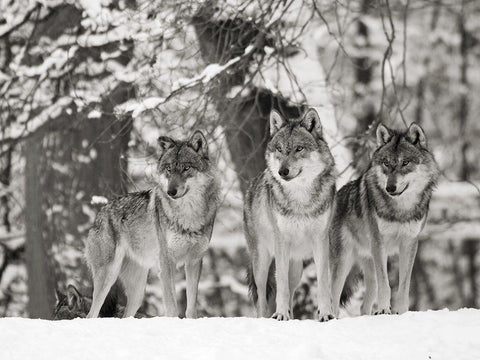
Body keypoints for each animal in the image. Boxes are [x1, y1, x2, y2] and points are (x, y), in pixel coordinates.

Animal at [86, 129, 219, 318]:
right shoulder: (167, 262)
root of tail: (100, 213)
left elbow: (191, 307)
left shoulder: (194, 261)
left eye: (186, 168)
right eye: (169, 169)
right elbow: (172, 307)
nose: (171, 191)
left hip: (138, 292)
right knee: (91, 314)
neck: (188, 215)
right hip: (108, 276)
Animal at [246, 107, 336, 320]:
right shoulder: (281, 241)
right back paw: (265, 317)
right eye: (279, 149)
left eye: (299, 148)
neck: (300, 198)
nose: (282, 171)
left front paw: (325, 314)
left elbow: (322, 283)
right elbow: (281, 287)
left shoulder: (321, 240)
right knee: (262, 296)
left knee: (292, 290)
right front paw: (280, 314)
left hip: (296, 268)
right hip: (262, 263)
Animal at [330, 121, 438, 316]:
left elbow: (403, 286)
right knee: (332, 299)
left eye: (405, 162)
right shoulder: (379, 243)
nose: (390, 188)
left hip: (368, 267)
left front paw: (401, 312)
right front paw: (383, 310)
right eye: (386, 163)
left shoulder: (410, 243)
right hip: (343, 262)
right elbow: (386, 284)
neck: (400, 209)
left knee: (363, 305)